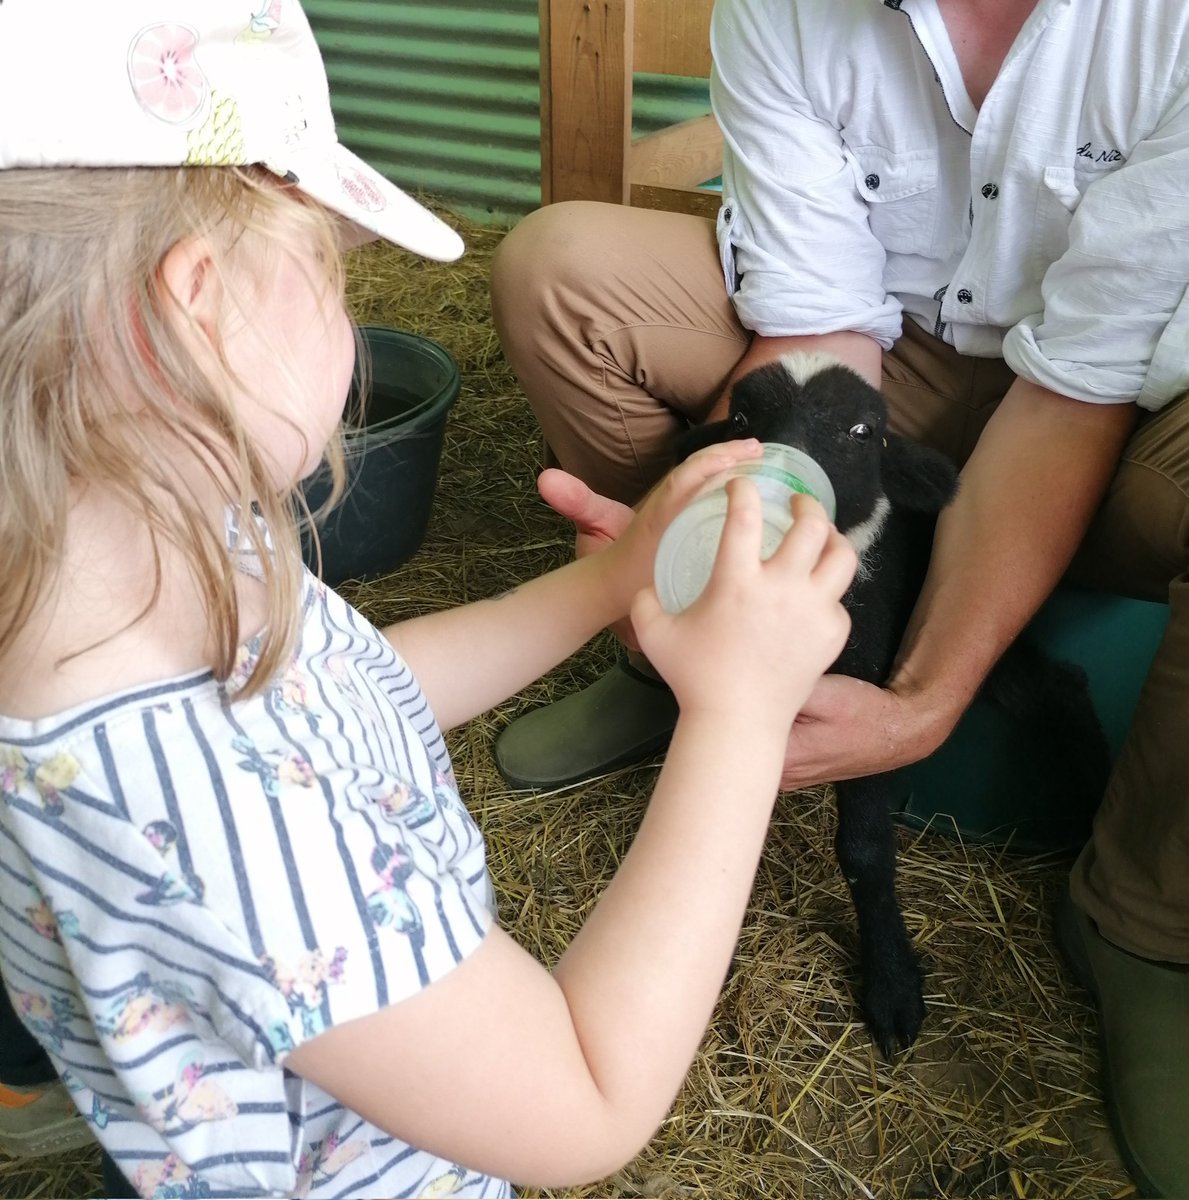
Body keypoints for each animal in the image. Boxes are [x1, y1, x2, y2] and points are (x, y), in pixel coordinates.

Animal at [676, 350, 1113, 1056]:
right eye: (740, 420)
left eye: (862, 432)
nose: (775, 490)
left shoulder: (859, 707)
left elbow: (865, 846)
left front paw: (892, 985)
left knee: (1057, 683)